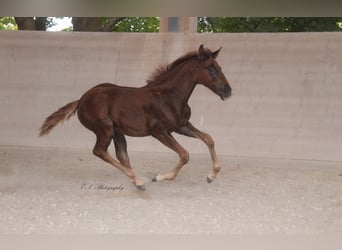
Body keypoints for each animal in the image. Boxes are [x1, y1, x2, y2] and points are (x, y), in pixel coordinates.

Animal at [40, 45, 232, 189]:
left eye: (220, 68)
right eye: (211, 69)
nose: (227, 91)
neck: (169, 97)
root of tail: (81, 100)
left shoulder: (181, 126)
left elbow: (208, 138)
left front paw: (212, 175)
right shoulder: (159, 131)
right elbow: (184, 154)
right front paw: (161, 177)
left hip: (117, 131)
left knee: (121, 155)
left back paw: (136, 180)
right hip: (105, 129)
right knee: (99, 151)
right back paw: (138, 179)